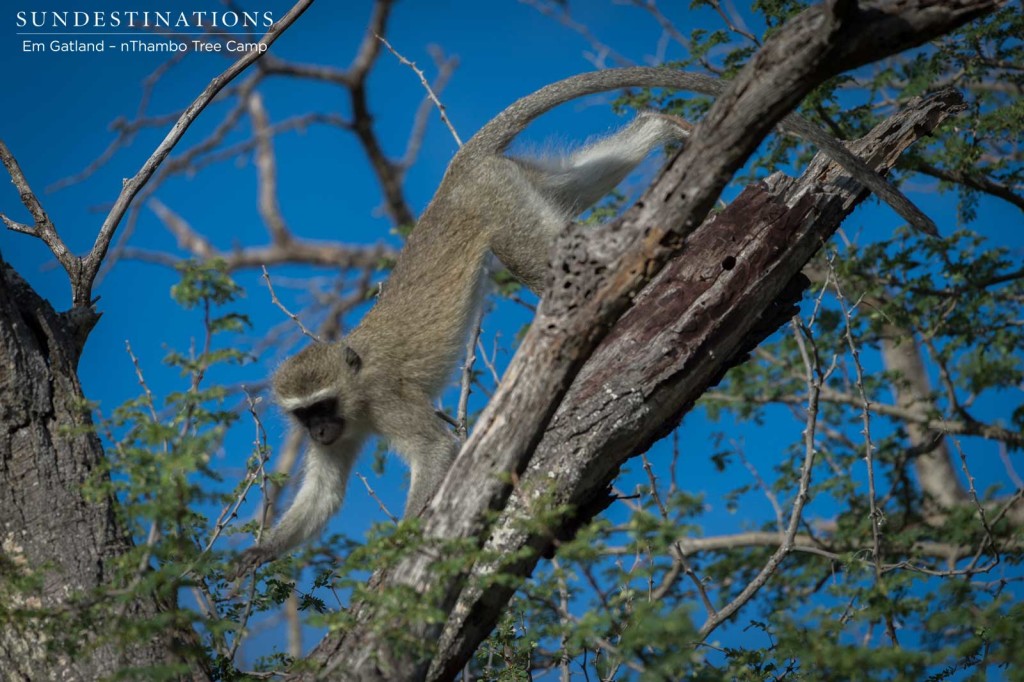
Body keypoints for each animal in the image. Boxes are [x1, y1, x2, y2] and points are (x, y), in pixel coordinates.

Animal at [234, 66, 937, 573]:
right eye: (306, 416)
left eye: (324, 405)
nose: (321, 430)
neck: (353, 394)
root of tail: (456, 173)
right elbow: (323, 496)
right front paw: (251, 556)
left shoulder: (383, 402)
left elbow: (434, 450)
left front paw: (404, 542)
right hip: (517, 184)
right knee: (575, 194)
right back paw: (665, 132)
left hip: (499, 205)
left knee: (553, 265)